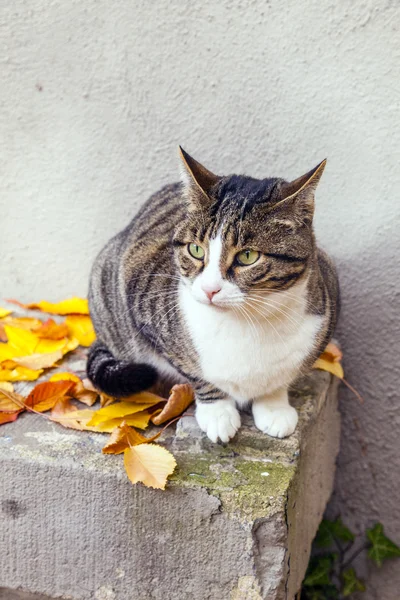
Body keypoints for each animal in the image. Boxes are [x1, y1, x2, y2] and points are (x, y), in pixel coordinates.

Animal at [86, 148, 338, 442]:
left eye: (248, 256)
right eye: (195, 249)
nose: (209, 289)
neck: (247, 323)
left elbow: (280, 378)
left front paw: (274, 406)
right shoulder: (143, 306)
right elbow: (197, 373)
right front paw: (218, 413)